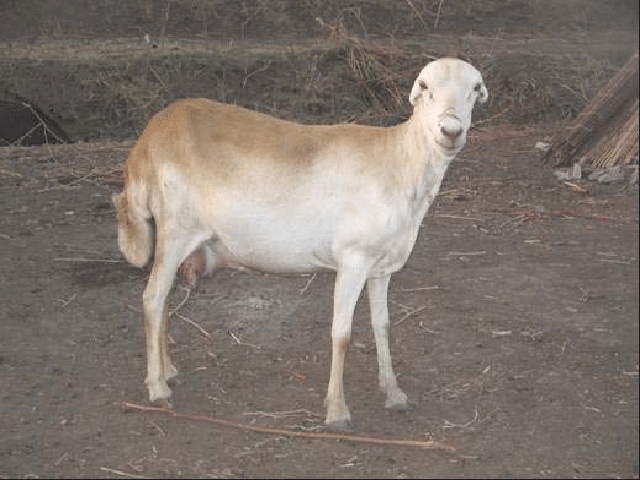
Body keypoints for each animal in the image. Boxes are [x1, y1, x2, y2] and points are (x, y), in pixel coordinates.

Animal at [113, 58, 488, 431]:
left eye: (475, 88)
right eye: (425, 87)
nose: (451, 130)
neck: (400, 162)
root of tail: (147, 141)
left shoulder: (381, 267)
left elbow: (382, 326)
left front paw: (394, 394)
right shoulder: (353, 258)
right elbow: (342, 334)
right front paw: (337, 411)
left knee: (165, 299)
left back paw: (168, 371)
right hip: (176, 228)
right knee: (152, 298)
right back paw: (157, 388)